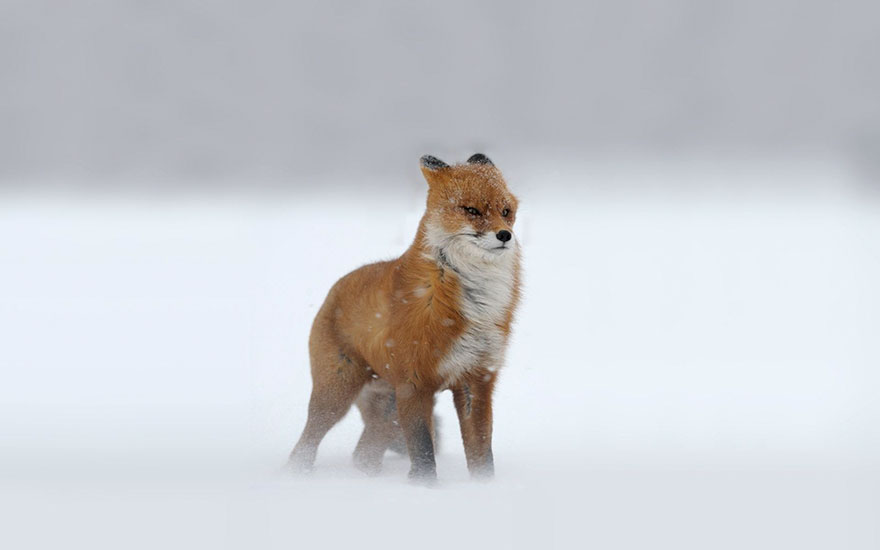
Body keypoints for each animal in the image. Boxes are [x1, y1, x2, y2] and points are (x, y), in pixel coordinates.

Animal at [288, 153, 521, 482]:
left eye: (506, 211)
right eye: (472, 210)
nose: (505, 235)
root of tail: (335, 288)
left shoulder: (476, 380)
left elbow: (482, 454)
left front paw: (483, 488)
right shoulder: (414, 383)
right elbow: (423, 453)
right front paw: (424, 489)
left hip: (388, 408)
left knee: (364, 454)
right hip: (336, 395)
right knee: (305, 445)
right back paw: (296, 475)